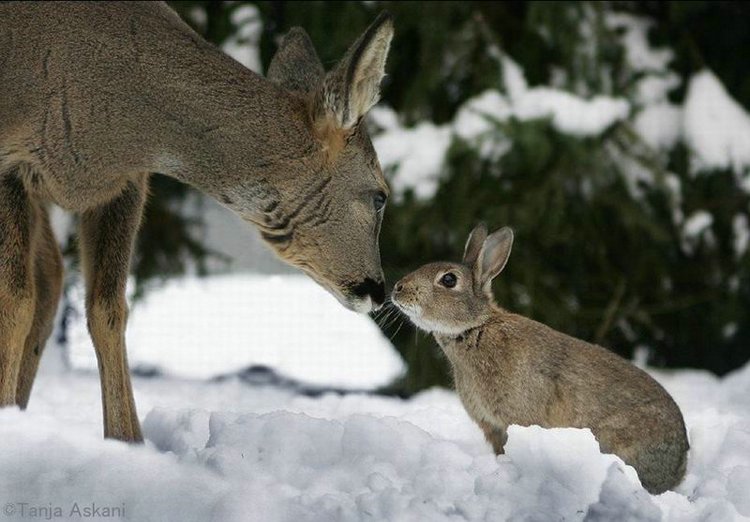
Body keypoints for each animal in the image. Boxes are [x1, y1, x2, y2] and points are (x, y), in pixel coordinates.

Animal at [0, 1, 396, 438]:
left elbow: (108, 310)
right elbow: (14, 302)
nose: (377, 289)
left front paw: (127, 441)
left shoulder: (125, 184)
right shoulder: (10, 162)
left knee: (51, 277)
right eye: (380, 195)